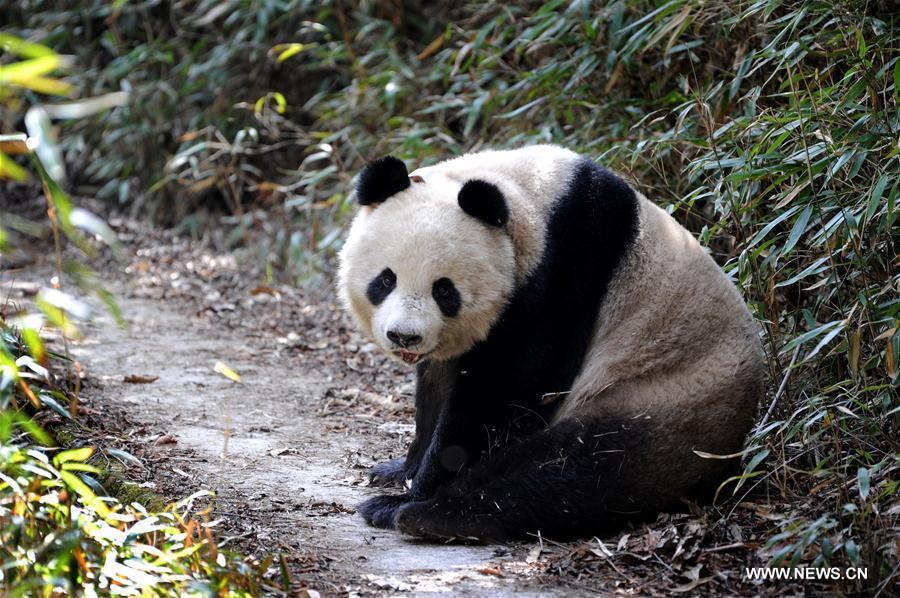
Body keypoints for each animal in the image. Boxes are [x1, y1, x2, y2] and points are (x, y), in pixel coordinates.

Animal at [338, 146, 768, 544]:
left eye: (444, 290)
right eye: (386, 279)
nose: (405, 336)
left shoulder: (566, 268)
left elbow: (507, 391)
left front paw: (414, 489)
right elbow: (437, 386)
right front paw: (400, 469)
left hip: (664, 396)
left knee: (574, 466)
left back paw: (424, 514)